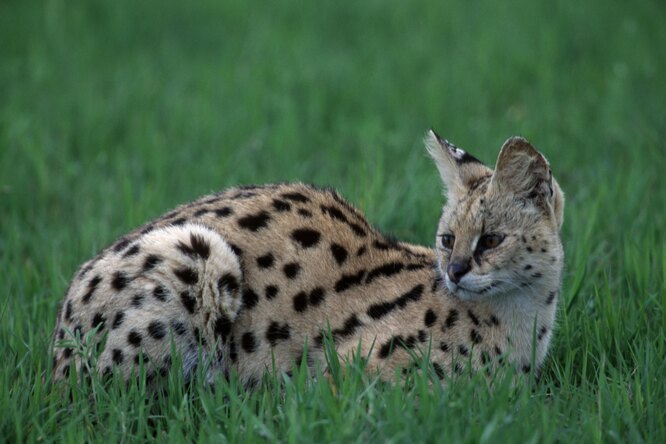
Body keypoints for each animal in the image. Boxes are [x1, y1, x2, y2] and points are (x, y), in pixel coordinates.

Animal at [52, 132, 560, 386]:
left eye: (491, 240)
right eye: (448, 239)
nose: (453, 272)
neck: (526, 322)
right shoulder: (351, 374)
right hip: (198, 255)